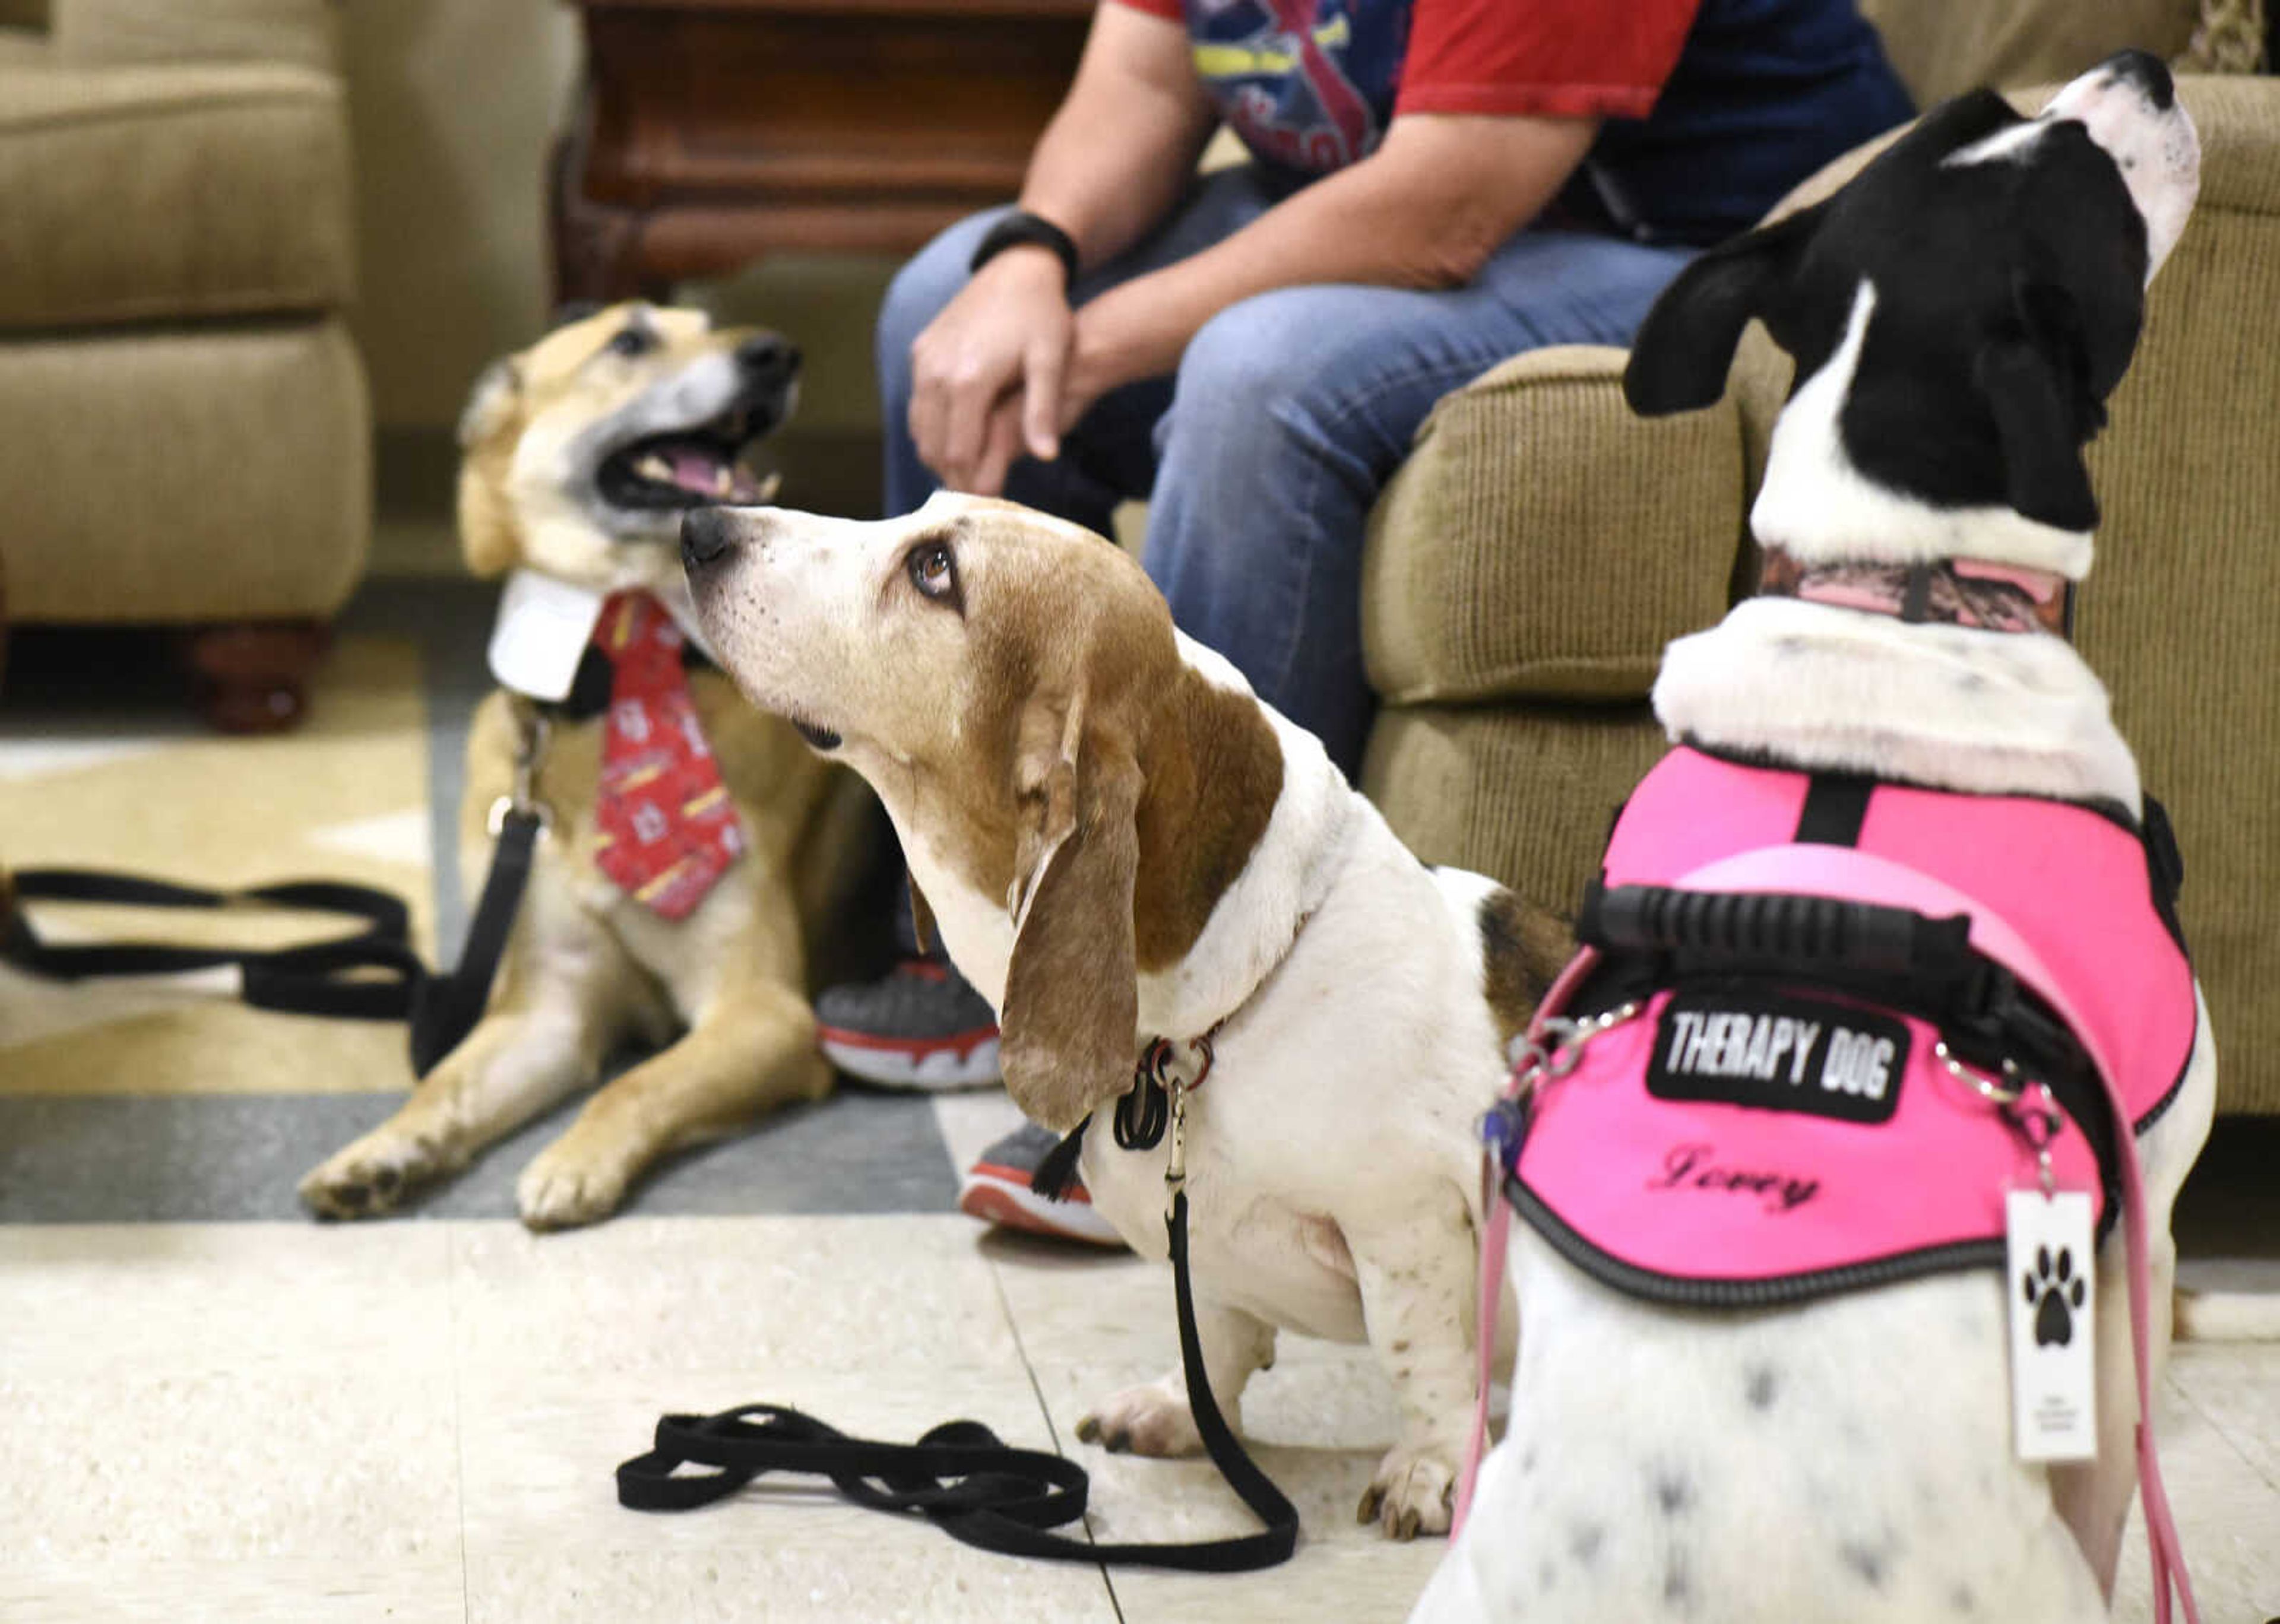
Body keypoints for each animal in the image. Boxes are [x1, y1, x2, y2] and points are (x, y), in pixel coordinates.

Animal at [303, 301, 870, 1232]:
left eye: (712, 324)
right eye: (629, 341)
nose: (775, 354)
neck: (619, 675)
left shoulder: (765, 1011)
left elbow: (637, 1084)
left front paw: (574, 1162)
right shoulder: (550, 1011)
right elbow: (446, 1083)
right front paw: (382, 1152)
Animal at [674, 493, 1568, 1533]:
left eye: (936, 571)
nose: (698, 527)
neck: (1207, 1028)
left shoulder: (1405, 1218)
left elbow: (1422, 1357)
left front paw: (1430, 1469)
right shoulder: (1207, 1248)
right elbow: (1215, 1333)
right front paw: (1186, 1412)